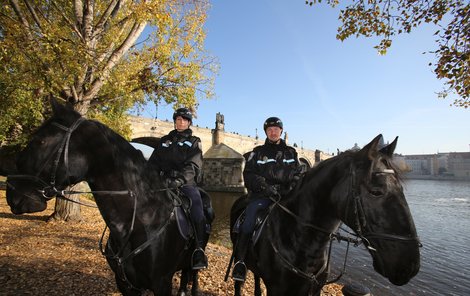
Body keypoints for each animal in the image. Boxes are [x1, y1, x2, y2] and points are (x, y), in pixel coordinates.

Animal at [229, 135, 420, 296]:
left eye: (401, 189)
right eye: (376, 191)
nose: (411, 266)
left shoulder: (314, 288)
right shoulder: (278, 290)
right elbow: (249, 172)